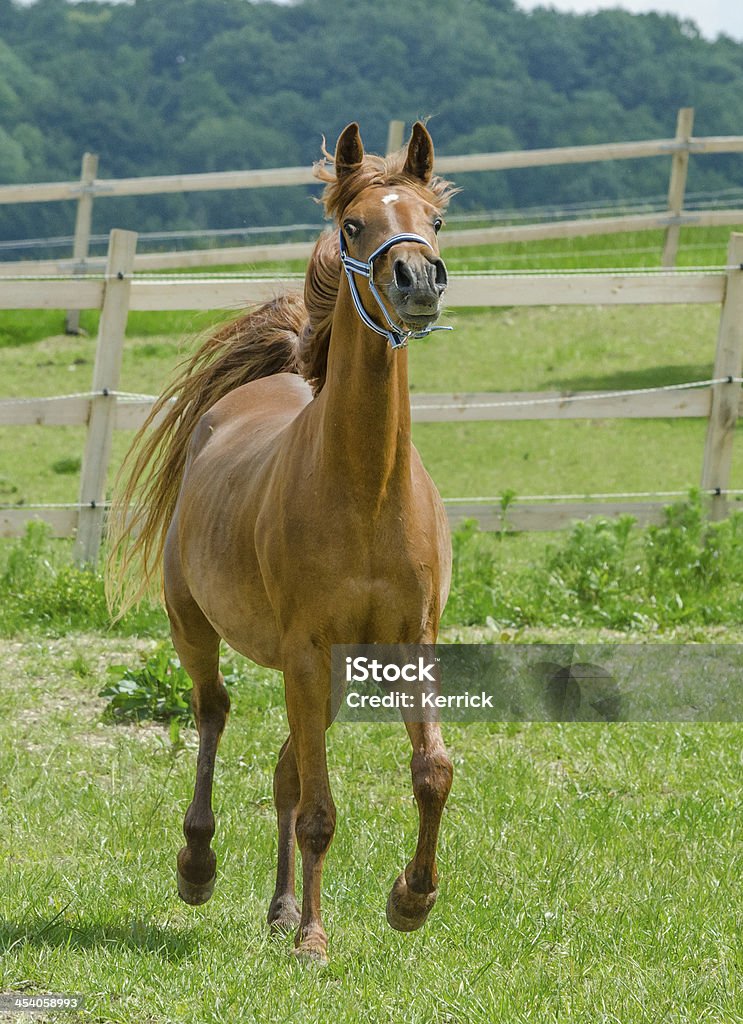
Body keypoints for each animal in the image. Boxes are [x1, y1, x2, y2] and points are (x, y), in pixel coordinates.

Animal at [108, 123, 460, 962]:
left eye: (433, 219)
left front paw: (410, 899)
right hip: (194, 627)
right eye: (354, 225)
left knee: (283, 773)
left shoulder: (408, 644)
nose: (417, 280)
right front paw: (314, 941)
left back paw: (277, 907)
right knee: (213, 714)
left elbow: (429, 771)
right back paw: (198, 865)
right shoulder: (303, 650)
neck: (365, 491)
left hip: (328, 677)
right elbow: (319, 812)